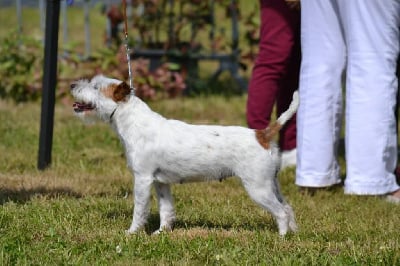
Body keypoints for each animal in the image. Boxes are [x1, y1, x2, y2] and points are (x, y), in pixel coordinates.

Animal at [70, 75, 298, 235]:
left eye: (96, 87)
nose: (72, 85)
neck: (134, 122)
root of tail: (262, 134)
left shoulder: (142, 179)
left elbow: (140, 209)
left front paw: (132, 233)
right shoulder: (160, 182)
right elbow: (166, 209)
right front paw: (162, 232)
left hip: (257, 187)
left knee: (280, 211)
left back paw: (281, 236)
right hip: (270, 184)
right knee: (288, 207)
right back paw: (294, 233)